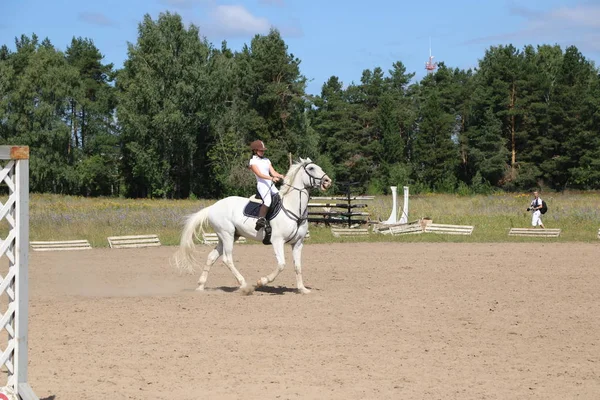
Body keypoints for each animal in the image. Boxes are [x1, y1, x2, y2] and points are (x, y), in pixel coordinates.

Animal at [173, 159, 332, 294]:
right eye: (311, 168)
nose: (327, 181)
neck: (293, 207)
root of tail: (213, 207)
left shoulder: (298, 243)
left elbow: (297, 266)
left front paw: (302, 289)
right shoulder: (277, 241)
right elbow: (281, 264)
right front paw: (262, 281)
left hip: (227, 237)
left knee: (211, 258)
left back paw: (200, 286)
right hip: (227, 235)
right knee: (227, 259)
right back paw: (244, 285)